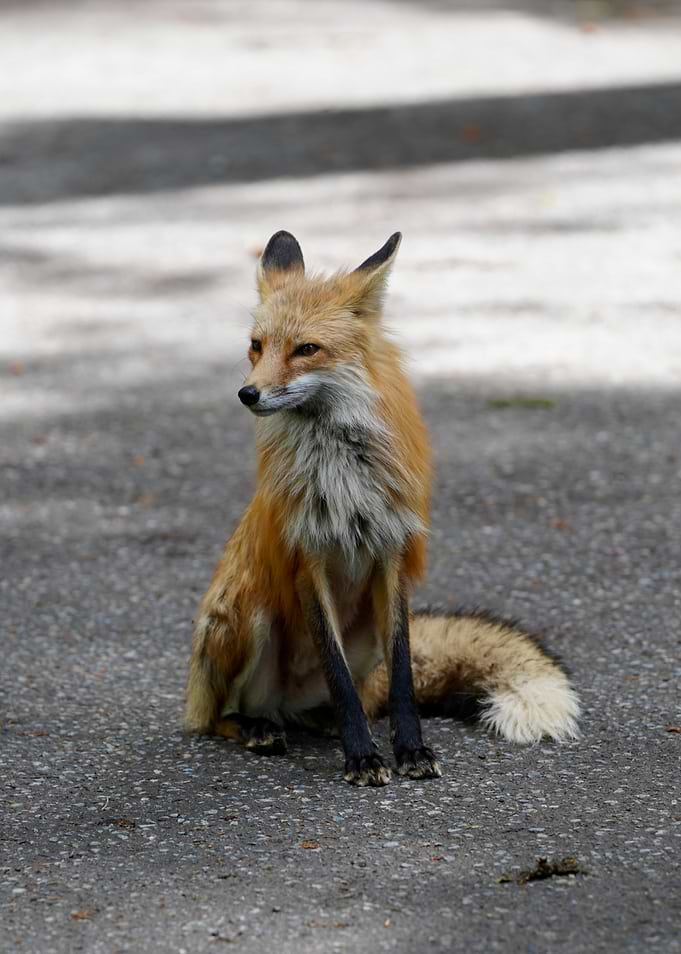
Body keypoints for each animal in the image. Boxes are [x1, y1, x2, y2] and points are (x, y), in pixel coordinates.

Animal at [185, 230, 580, 786]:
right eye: (256, 346)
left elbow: (402, 676)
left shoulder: (391, 553)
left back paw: (321, 722)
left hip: (361, 637)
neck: (342, 473)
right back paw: (255, 727)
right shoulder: (308, 559)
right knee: (217, 717)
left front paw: (409, 748)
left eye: (306, 349)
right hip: (245, 614)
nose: (248, 393)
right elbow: (339, 675)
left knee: (354, 699)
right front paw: (362, 757)